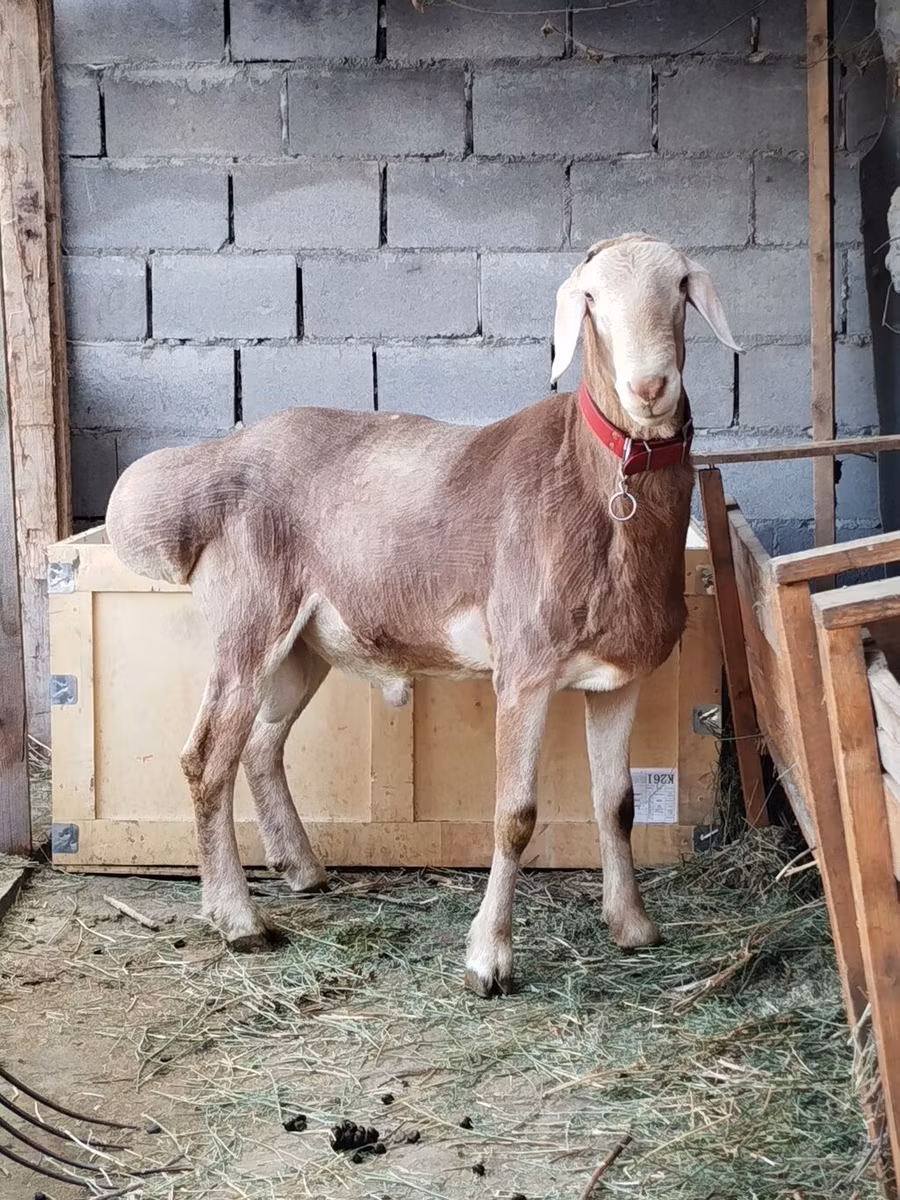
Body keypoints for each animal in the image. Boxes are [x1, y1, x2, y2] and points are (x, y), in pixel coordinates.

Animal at [105, 233, 740, 997]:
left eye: (680, 288)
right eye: (590, 298)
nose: (649, 388)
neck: (598, 486)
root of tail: (208, 467)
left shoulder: (618, 677)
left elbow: (617, 802)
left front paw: (634, 928)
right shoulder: (524, 668)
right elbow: (514, 814)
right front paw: (488, 960)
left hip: (305, 642)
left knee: (259, 745)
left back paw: (303, 871)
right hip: (249, 617)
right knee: (206, 759)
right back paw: (239, 921)